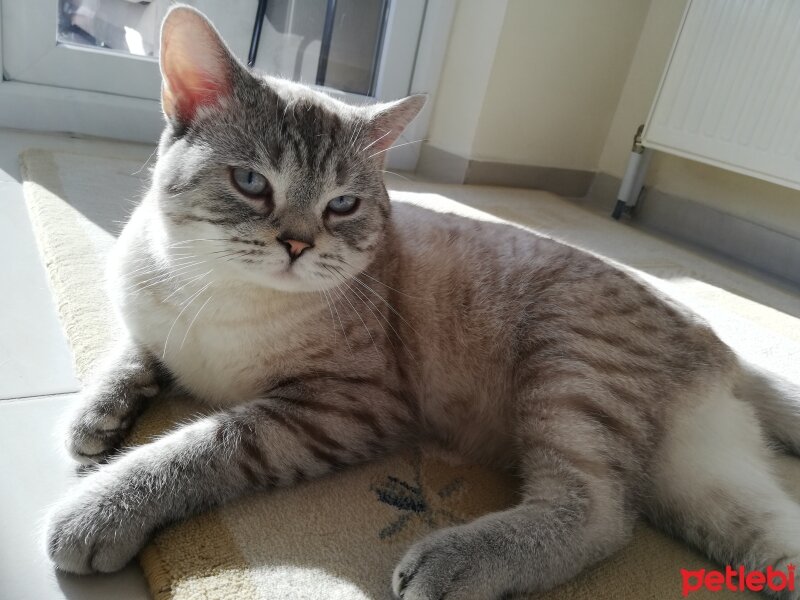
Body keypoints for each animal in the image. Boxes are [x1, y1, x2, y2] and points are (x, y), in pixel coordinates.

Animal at [45, 5, 800, 600]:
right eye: (252, 183)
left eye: (342, 205)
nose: (296, 243)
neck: (211, 292)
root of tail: (725, 349)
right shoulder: (152, 327)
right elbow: (128, 356)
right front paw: (95, 419)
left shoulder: (340, 405)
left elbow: (197, 447)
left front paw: (100, 507)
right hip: (709, 484)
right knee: (764, 535)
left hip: (570, 374)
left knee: (602, 516)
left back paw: (449, 560)